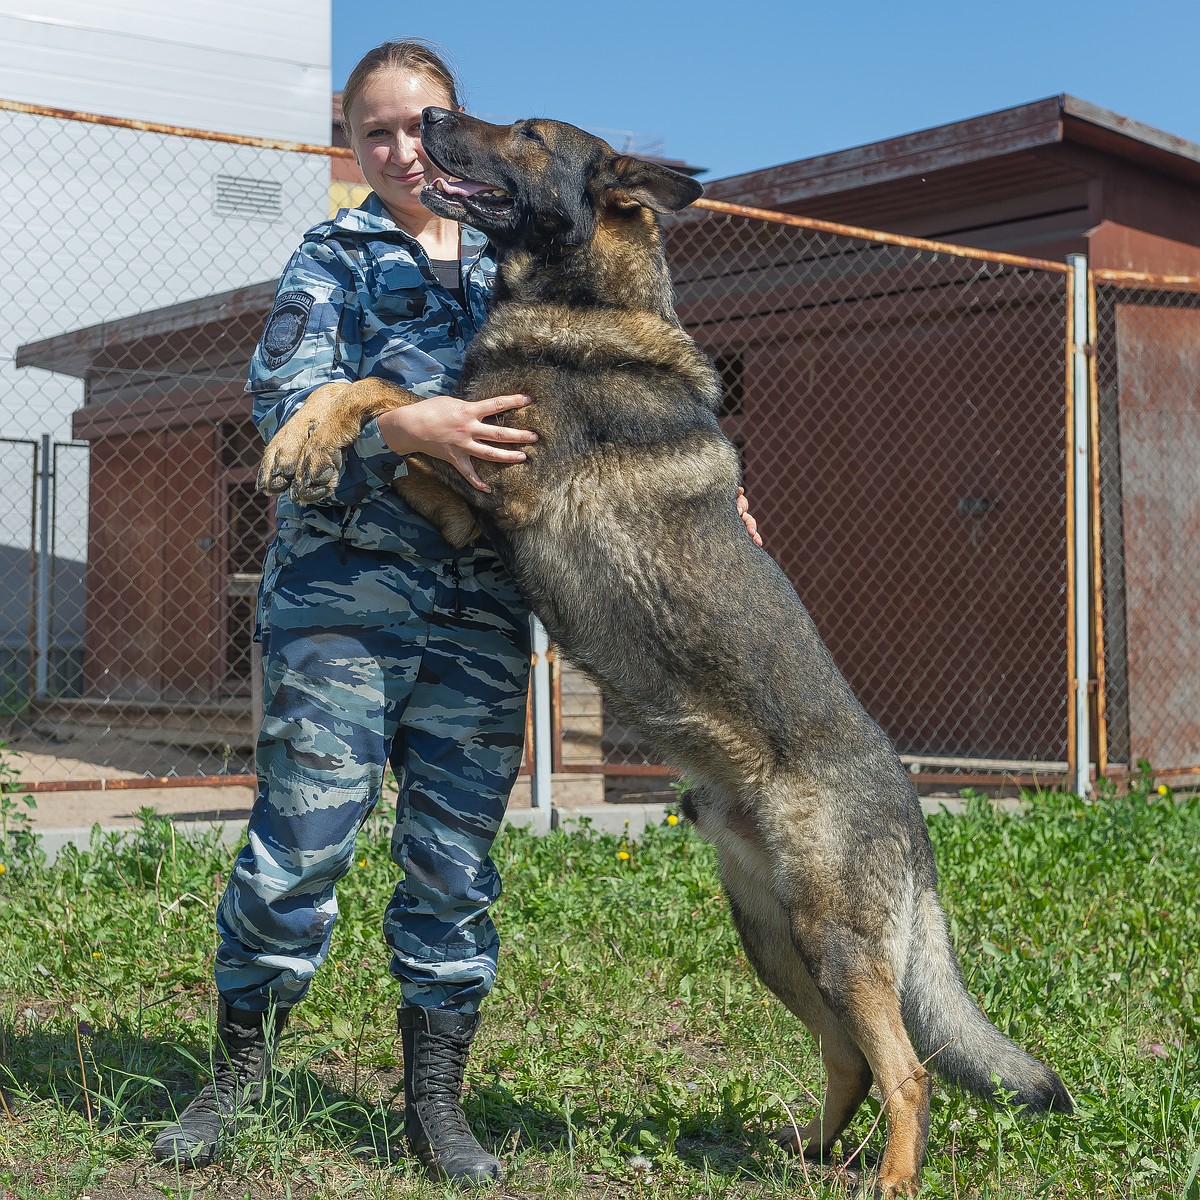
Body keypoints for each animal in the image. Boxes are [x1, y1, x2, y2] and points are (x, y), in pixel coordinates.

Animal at [260, 108, 1070, 1195]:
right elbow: (378, 389)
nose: (429, 117)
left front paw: (301, 445)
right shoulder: (470, 497)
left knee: (909, 1071)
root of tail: (911, 811)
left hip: (833, 941)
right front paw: (303, 436)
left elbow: (384, 389)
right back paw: (807, 1153)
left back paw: (890, 1178)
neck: (583, 305)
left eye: (525, 132)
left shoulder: (492, 489)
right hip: (771, 936)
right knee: (852, 1055)